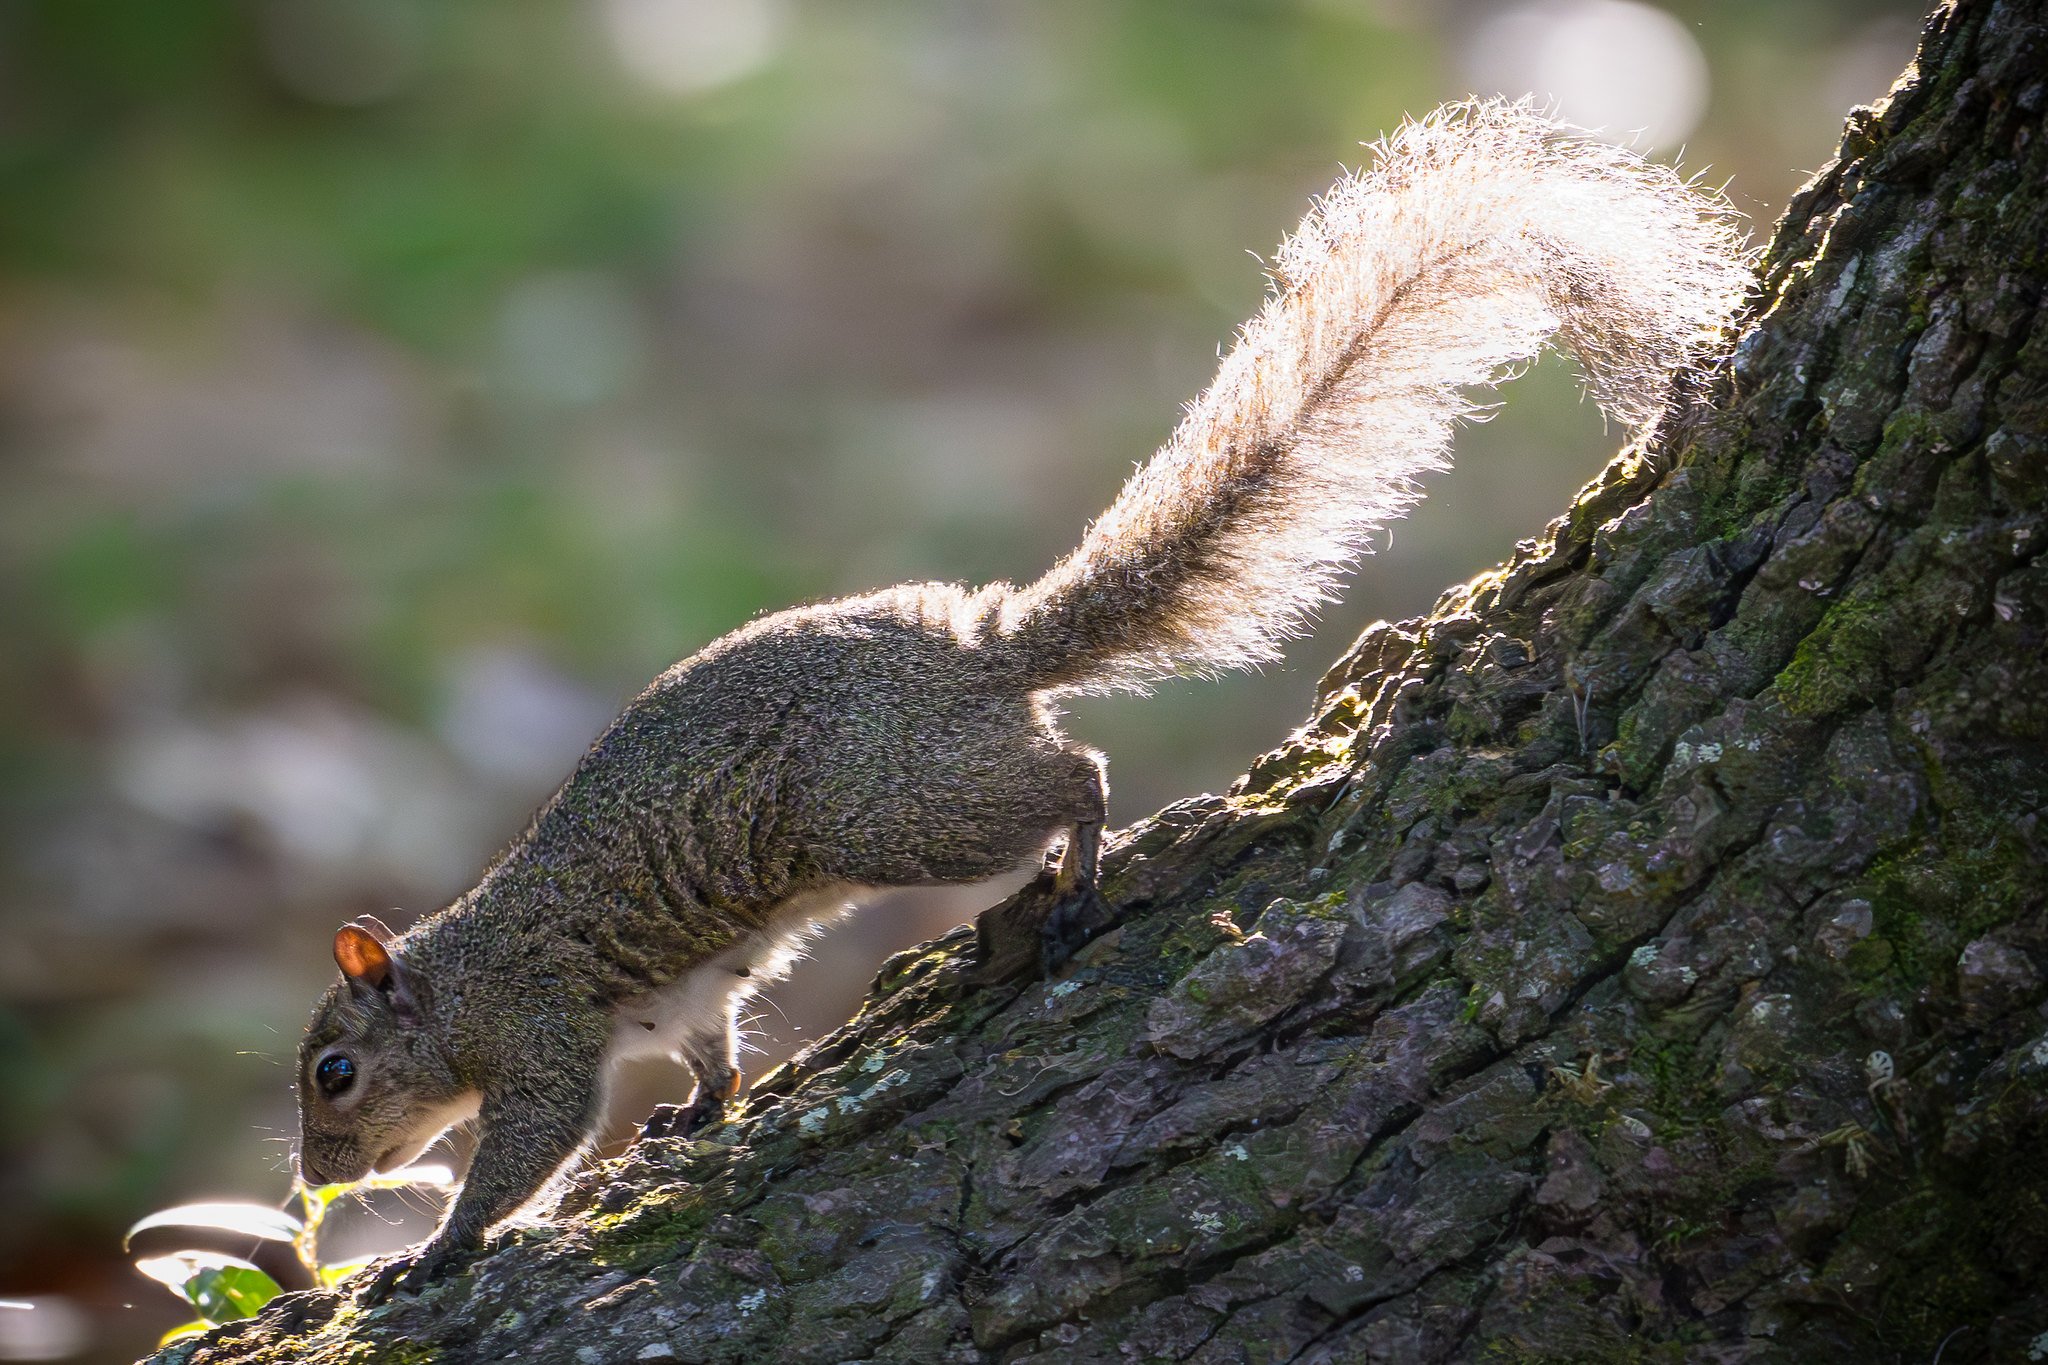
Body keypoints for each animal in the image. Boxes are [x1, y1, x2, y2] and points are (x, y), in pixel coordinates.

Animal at [295, 99, 1748, 1300]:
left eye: (334, 1072)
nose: (315, 1182)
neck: (457, 976)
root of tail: (983, 663)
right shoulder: (682, 1001)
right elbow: (715, 1048)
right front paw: (700, 1113)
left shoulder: (537, 1035)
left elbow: (530, 1149)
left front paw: (435, 1250)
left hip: (892, 815)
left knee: (1073, 780)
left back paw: (1082, 872)